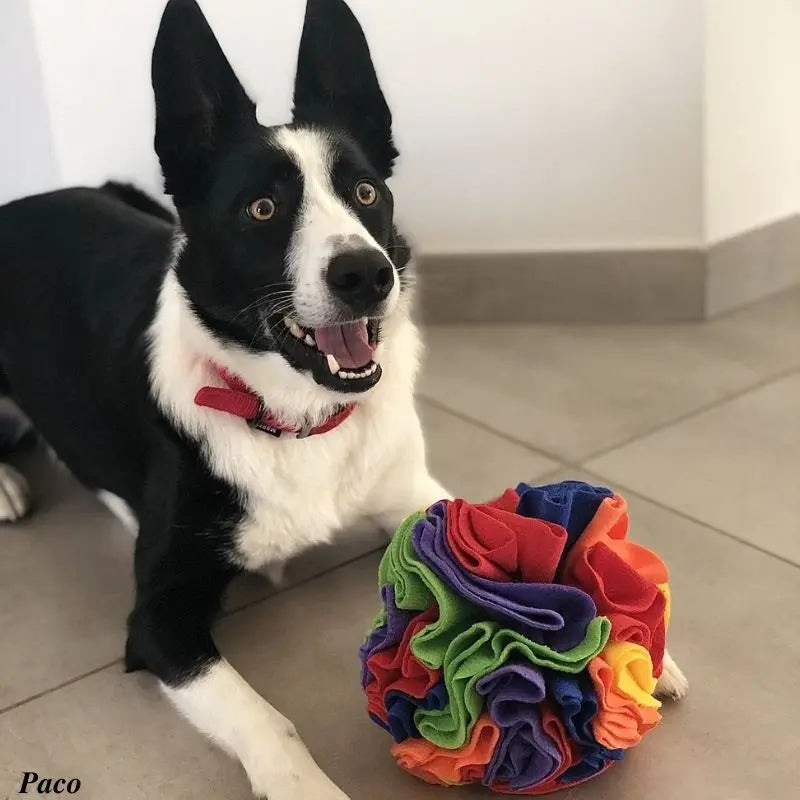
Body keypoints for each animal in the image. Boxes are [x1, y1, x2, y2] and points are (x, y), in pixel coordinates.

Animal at [0, 1, 688, 800]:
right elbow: (265, 718)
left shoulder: (411, 492)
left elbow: (490, 536)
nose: (367, 274)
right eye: (262, 208)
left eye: (365, 193)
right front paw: (305, 784)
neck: (290, 416)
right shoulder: (159, 616)